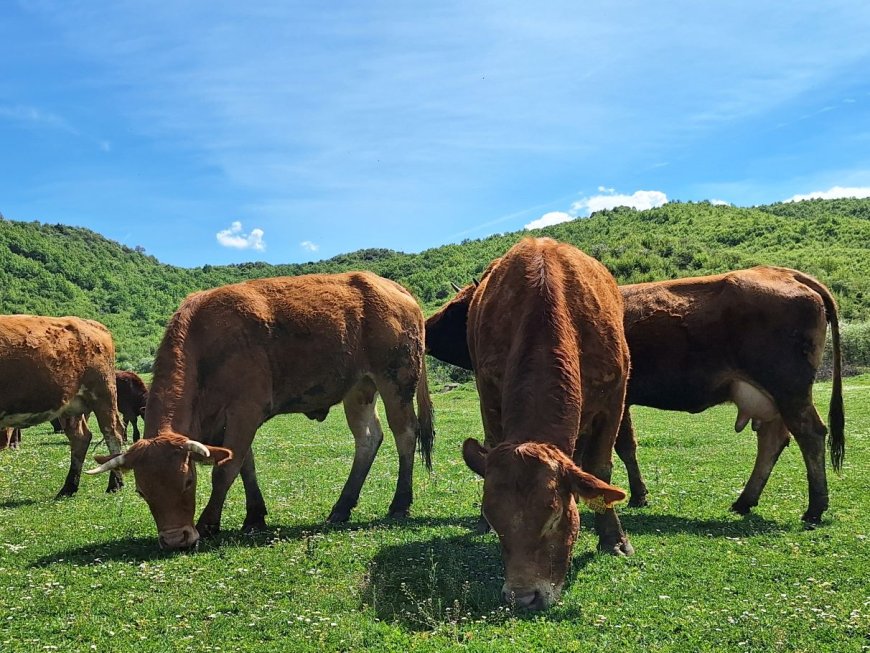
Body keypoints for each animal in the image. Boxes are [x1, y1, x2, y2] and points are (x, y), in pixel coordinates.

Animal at [0, 314, 126, 494]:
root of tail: (91, 323)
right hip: (72, 406)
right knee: (81, 437)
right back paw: (68, 487)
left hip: (103, 395)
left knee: (113, 433)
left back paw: (115, 484)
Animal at [88, 270, 436, 552]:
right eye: (142, 491)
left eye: (187, 481)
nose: (175, 539)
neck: (206, 340)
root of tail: (391, 286)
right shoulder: (227, 422)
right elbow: (245, 465)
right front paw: (255, 515)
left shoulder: (245, 411)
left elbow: (226, 469)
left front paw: (209, 522)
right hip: (359, 389)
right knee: (368, 439)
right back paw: (341, 507)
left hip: (396, 380)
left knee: (405, 434)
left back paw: (400, 503)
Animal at [426, 262, 848, 524]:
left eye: (458, 308)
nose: (425, 327)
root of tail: (786, 273)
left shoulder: (617, 399)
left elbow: (622, 446)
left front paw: (636, 495)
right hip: (769, 398)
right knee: (774, 440)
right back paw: (745, 501)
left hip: (789, 389)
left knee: (811, 435)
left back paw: (814, 508)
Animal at [432, 239, 632, 612]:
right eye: (495, 519)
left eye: (555, 516)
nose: (523, 596)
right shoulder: (487, 391)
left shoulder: (615, 396)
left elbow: (600, 468)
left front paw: (613, 539)